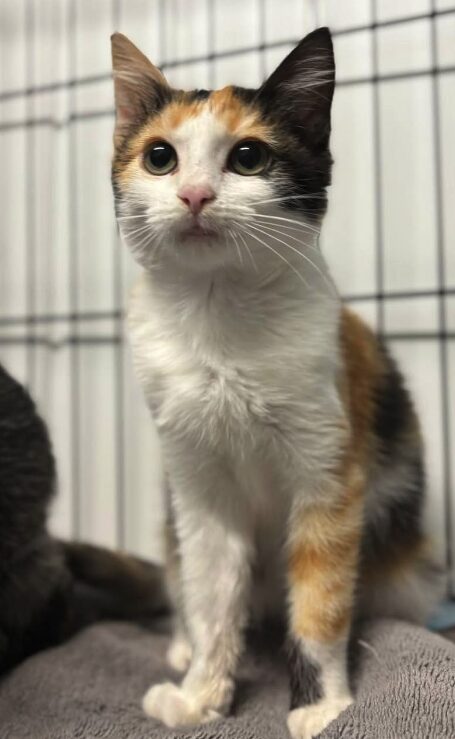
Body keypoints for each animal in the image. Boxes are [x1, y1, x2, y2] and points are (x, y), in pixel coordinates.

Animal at [111, 28, 446, 739]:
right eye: (159, 157)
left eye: (248, 156)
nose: (194, 195)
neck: (219, 317)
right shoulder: (196, 480)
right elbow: (211, 591)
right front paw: (200, 694)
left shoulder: (329, 467)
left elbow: (320, 595)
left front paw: (322, 706)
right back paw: (181, 646)